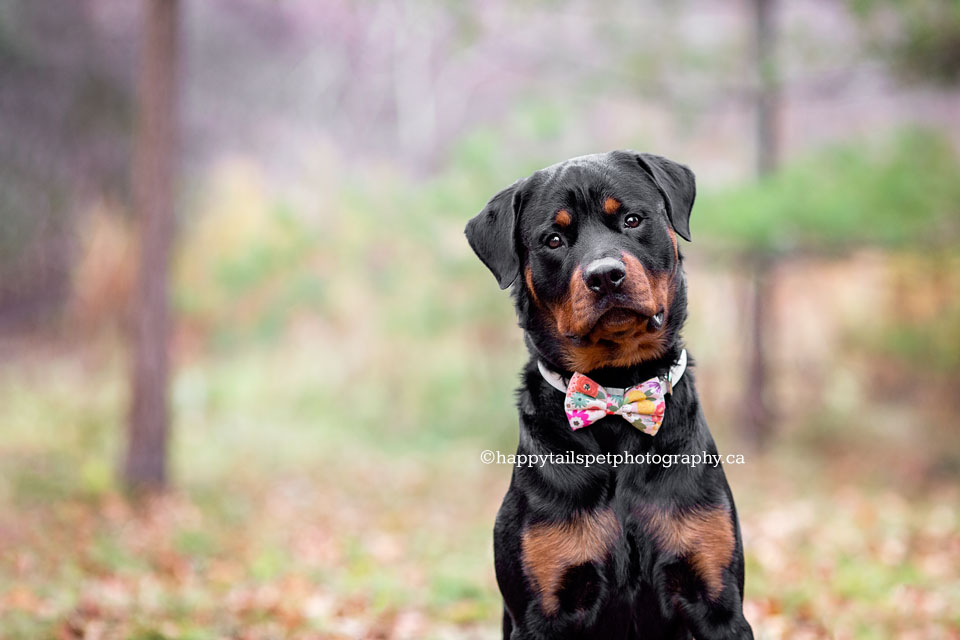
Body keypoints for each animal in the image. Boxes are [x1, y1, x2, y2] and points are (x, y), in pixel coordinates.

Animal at [468, 151, 752, 640]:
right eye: (554, 239)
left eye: (632, 219)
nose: (605, 276)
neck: (618, 389)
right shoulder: (541, 613)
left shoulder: (718, 601)